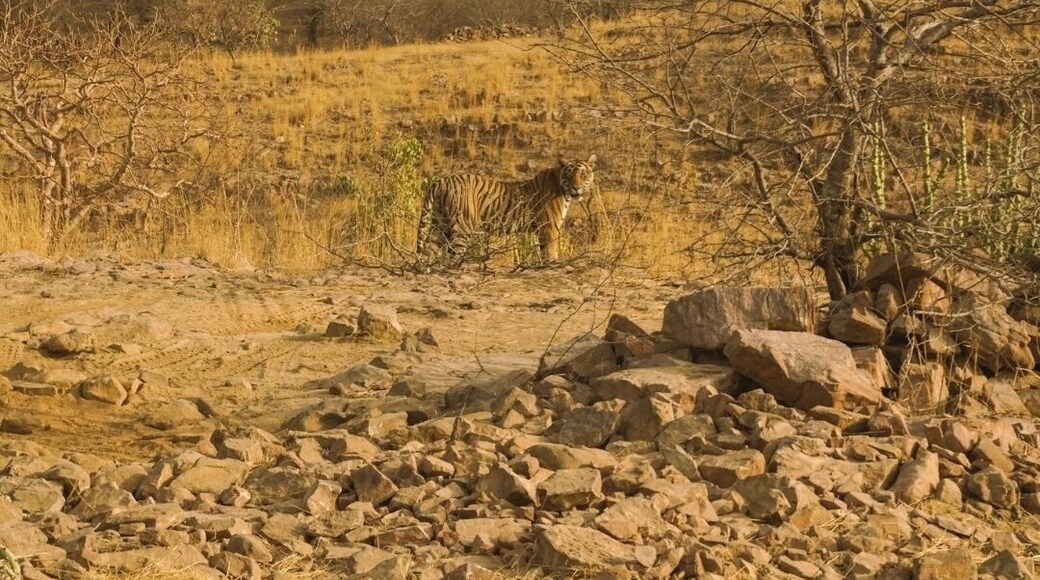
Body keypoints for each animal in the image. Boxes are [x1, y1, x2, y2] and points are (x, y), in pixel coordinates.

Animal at [416, 154, 597, 264]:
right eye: (569, 175)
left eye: (583, 175)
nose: (576, 188)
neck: (563, 190)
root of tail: (442, 181)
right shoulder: (549, 227)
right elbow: (550, 252)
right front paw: (552, 265)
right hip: (461, 227)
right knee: (452, 257)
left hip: (439, 226)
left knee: (429, 253)